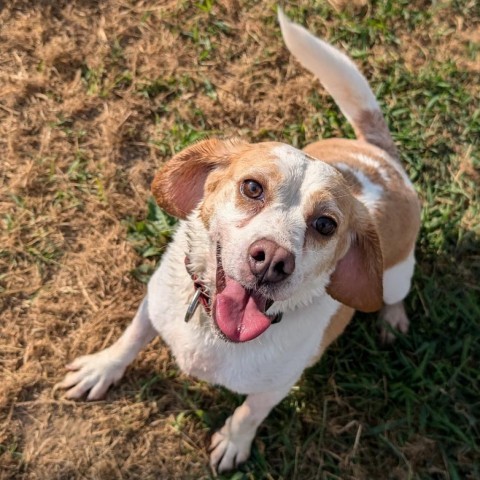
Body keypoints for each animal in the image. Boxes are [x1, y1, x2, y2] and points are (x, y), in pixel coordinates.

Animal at [58, 10, 420, 472]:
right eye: (251, 187)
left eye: (325, 225)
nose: (272, 260)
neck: (212, 333)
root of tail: (381, 159)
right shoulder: (152, 305)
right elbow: (129, 339)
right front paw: (102, 369)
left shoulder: (276, 387)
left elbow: (249, 412)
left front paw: (233, 442)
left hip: (396, 275)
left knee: (395, 295)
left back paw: (392, 320)